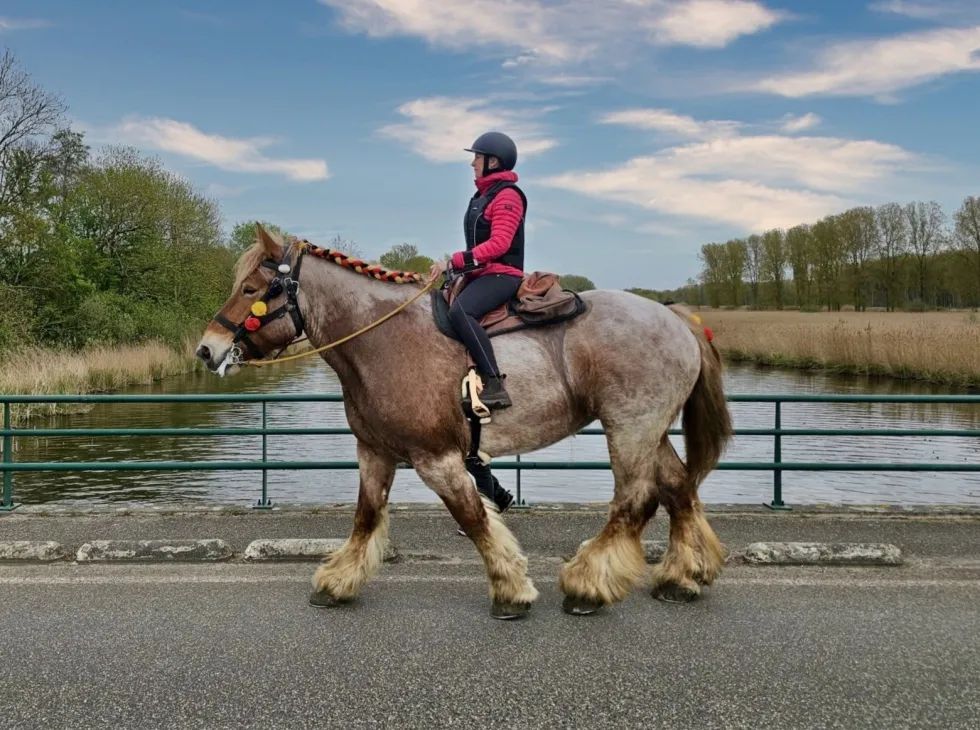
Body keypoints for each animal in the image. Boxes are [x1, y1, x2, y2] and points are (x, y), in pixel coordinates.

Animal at [196, 225, 732, 619]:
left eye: (250, 288)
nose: (206, 349)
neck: (381, 339)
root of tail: (676, 318)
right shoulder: (375, 451)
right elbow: (366, 516)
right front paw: (338, 581)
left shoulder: (437, 459)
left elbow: (473, 517)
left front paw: (511, 589)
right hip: (649, 430)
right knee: (678, 488)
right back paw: (682, 576)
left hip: (630, 428)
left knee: (636, 500)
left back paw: (588, 586)